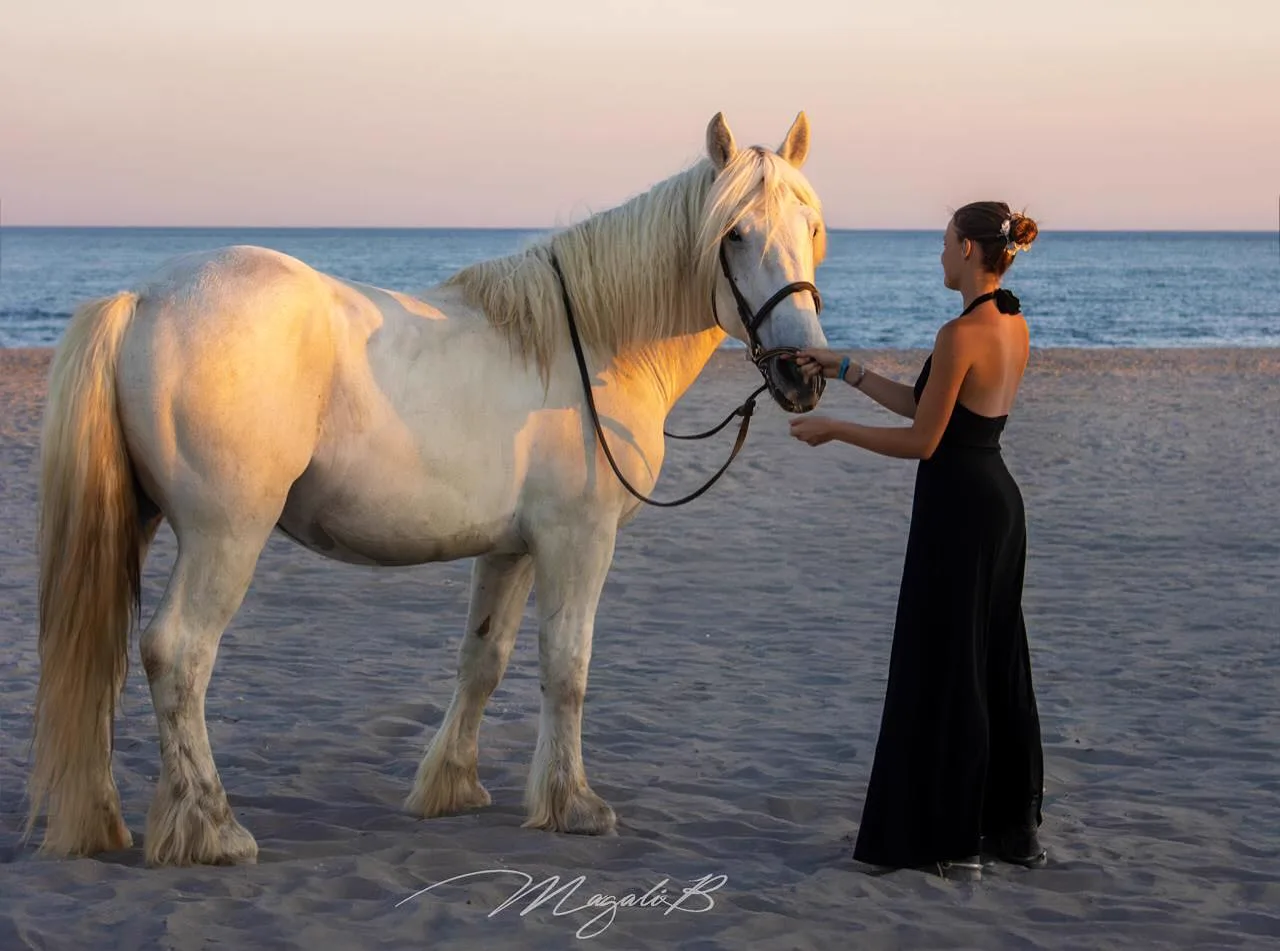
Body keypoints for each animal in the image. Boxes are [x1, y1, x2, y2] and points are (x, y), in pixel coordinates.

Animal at [26, 110, 830, 867]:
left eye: (812, 228)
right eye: (733, 234)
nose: (803, 370)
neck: (590, 346)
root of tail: (145, 298)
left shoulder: (512, 549)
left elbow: (484, 660)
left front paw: (451, 786)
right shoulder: (578, 541)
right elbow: (567, 666)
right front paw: (574, 804)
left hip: (142, 523)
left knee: (106, 661)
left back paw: (107, 821)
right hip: (226, 535)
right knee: (179, 655)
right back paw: (213, 829)